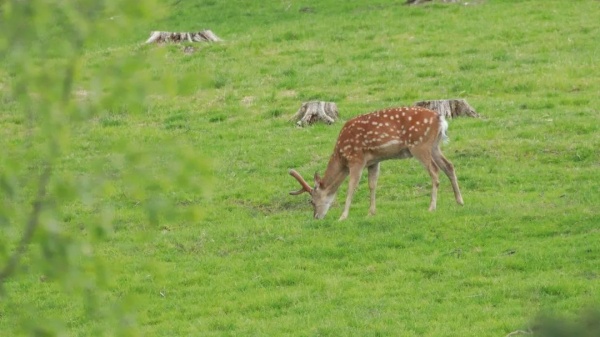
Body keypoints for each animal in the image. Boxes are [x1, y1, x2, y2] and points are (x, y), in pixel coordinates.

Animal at [290, 106, 464, 219]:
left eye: (312, 201)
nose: (316, 217)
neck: (341, 156)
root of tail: (440, 119)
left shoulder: (356, 159)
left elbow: (351, 187)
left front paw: (343, 216)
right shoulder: (374, 161)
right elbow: (372, 184)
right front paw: (371, 212)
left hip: (420, 145)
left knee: (434, 170)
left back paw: (432, 207)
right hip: (434, 146)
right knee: (449, 165)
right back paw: (459, 201)